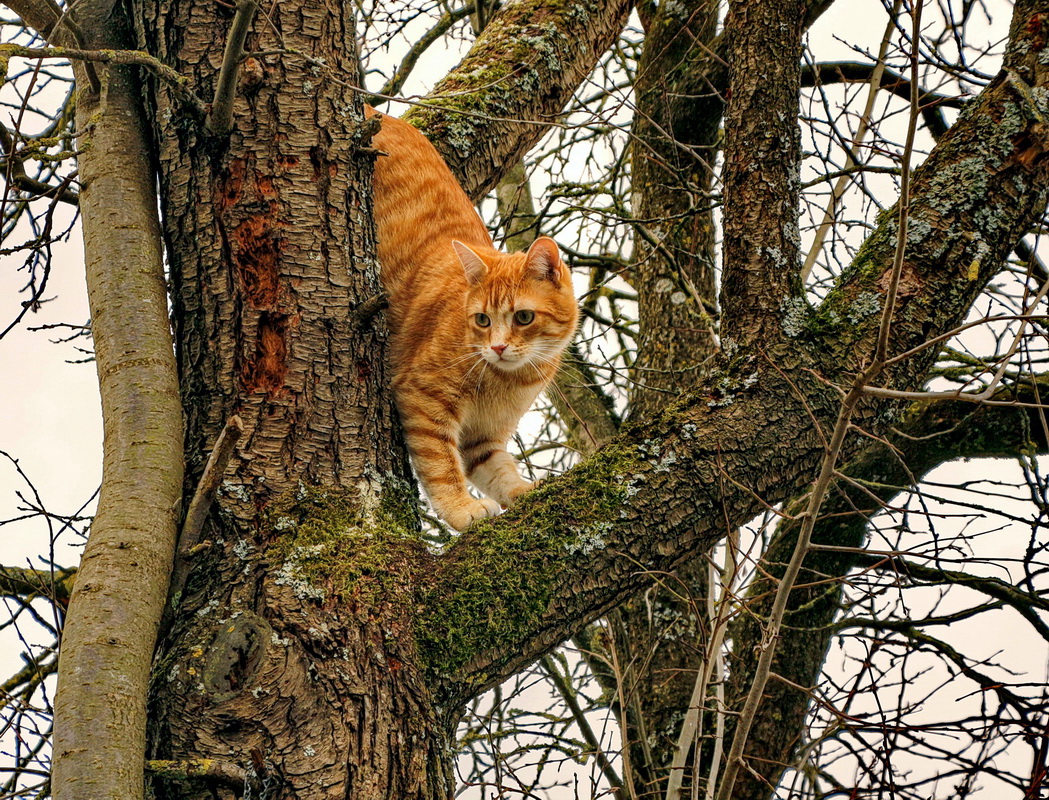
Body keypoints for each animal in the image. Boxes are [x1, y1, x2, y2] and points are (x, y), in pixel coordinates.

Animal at [367, 106, 583, 532]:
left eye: (523, 317)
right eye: (482, 320)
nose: (497, 347)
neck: (507, 380)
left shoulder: (484, 437)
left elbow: (498, 469)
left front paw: (521, 490)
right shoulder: (423, 397)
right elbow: (441, 464)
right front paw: (460, 507)